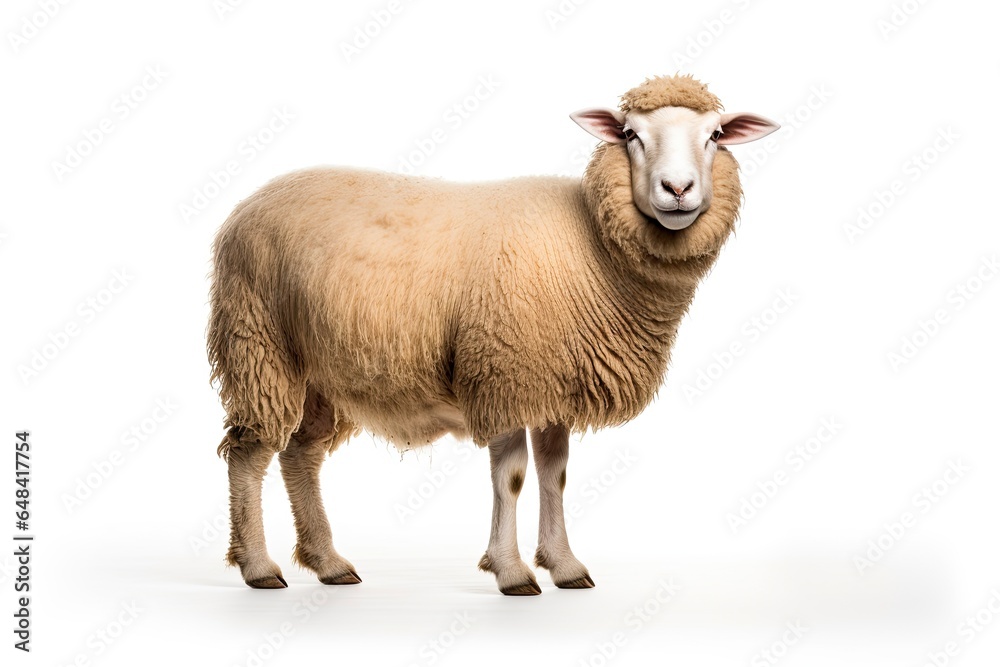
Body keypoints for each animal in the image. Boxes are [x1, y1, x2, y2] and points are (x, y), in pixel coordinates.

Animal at [208, 74, 779, 595]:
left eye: (715, 135)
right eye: (630, 134)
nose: (677, 190)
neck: (590, 244)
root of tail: (245, 206)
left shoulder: (551, 384)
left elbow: (555, 473)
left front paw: (563, 564)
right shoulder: (503, 372)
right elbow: (513, 476)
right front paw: (511, 571)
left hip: (317, 370)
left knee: (299, 453)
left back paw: (328, 562)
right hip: (259, 344)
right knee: (248, 451)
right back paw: (258, 567)